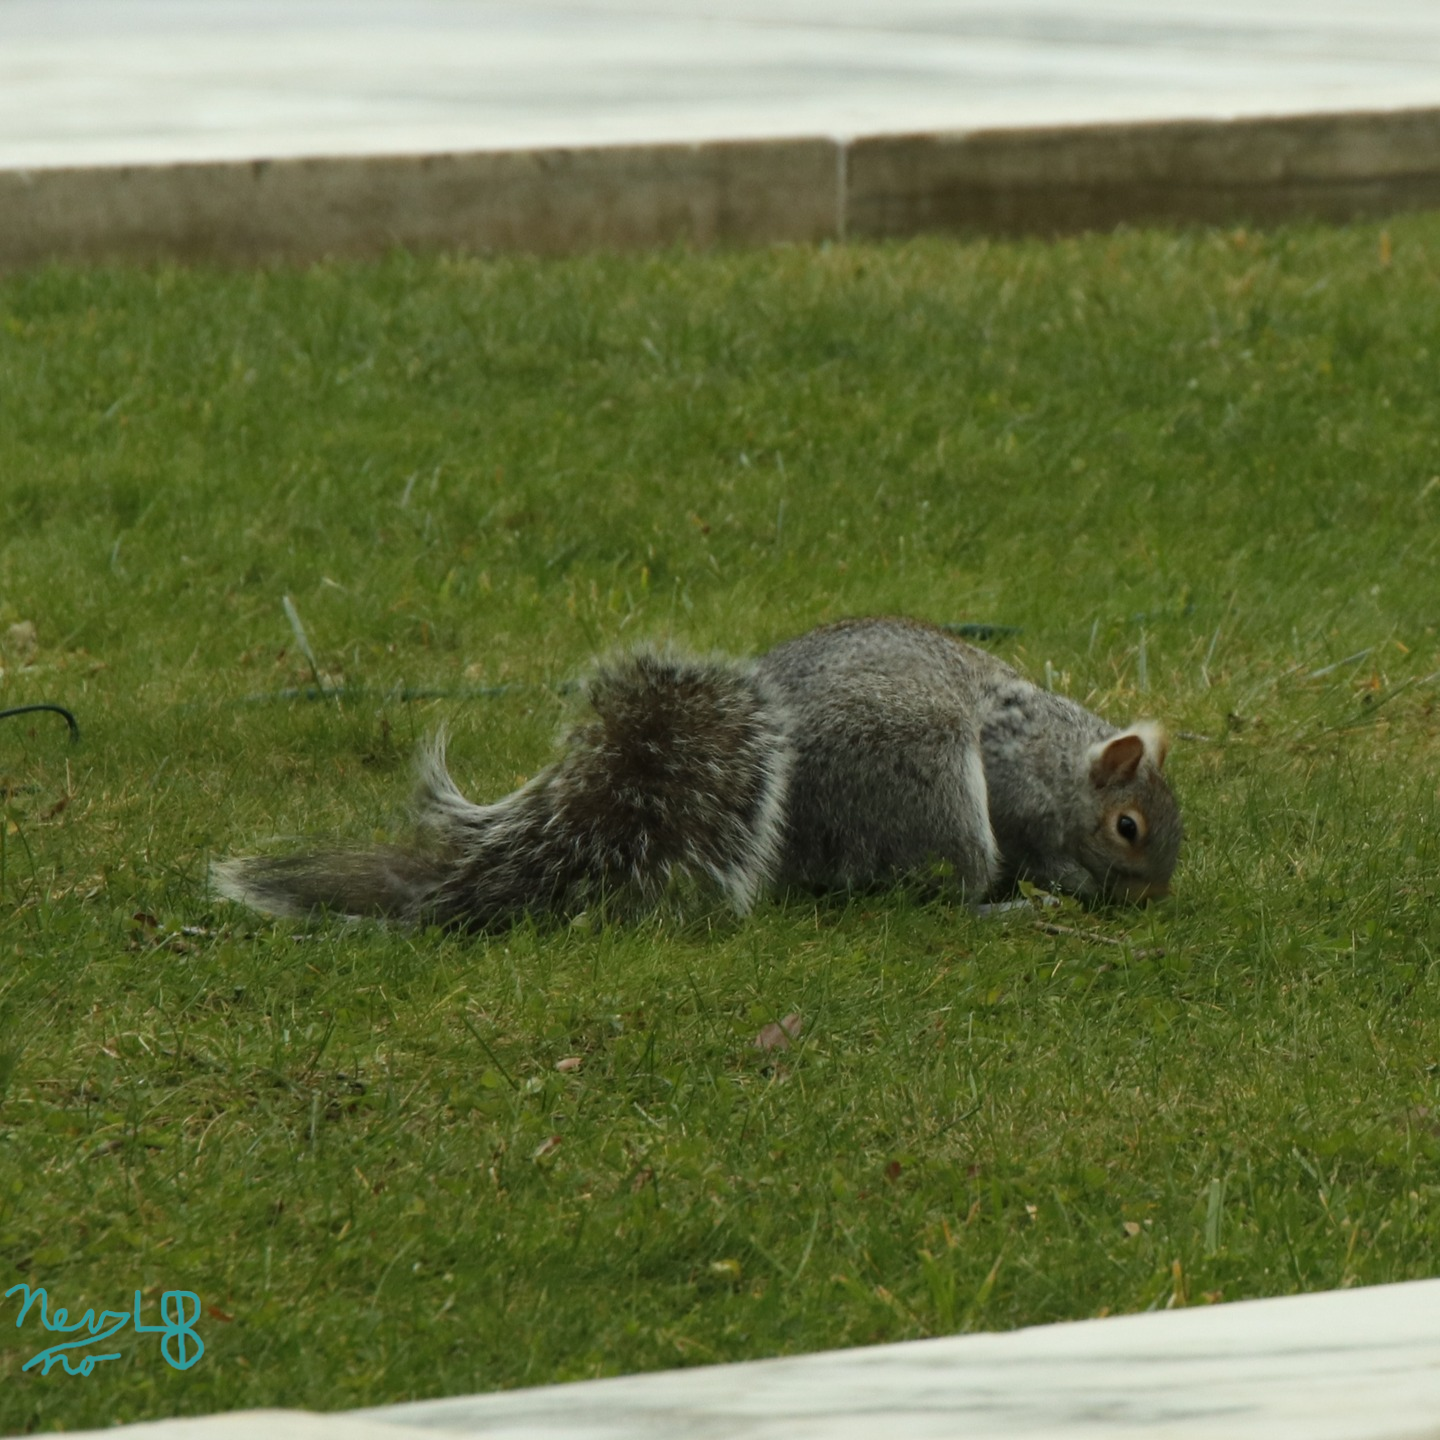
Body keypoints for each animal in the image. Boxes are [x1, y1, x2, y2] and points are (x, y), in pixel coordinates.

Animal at [213, 616, 1182, 930]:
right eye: (1129, 827)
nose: (1154, 898)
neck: (1059, 754)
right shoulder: (1013, 779)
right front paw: (1067, 880)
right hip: (928, 775)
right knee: (934, 887)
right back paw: (1003, 906)